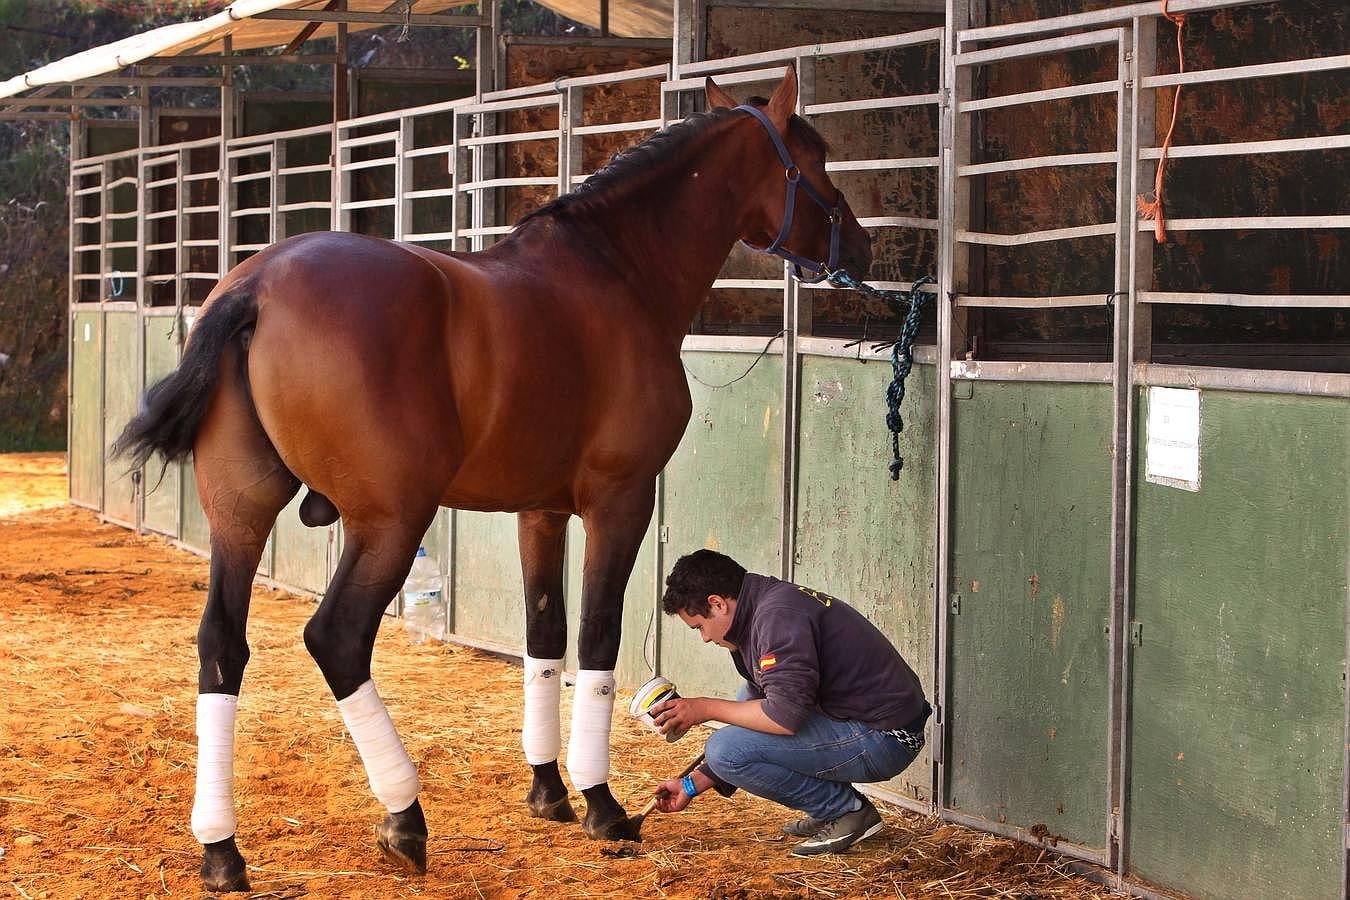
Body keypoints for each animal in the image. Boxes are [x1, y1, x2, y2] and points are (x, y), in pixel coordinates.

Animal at [118, 66, 874, 890]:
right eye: (816, 157)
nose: (864, 247)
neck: (617, 272)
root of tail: (256, 285)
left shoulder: (539, 511)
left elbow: (543, 633)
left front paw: (548, 790)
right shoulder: (619, 499)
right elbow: (596, 635)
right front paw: (602, 803)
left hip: (241, 515)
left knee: (222, 646)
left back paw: (221, 849)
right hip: (391, 522)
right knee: (337, 639)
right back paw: (404, 817)